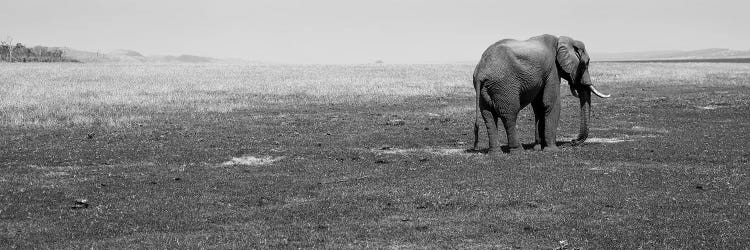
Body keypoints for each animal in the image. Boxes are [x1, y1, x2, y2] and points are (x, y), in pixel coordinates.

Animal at [476, 34, 612, 153]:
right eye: (586, 63)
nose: (573, 141)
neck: (562, 40)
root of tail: (480, 72)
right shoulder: (553, 70)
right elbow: (552, 103)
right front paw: (552, 150)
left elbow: (539, 107)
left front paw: (538, 148)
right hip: (505, 85)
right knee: (509, 115)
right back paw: (518, 151)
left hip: (487, 89)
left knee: (488, 115)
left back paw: (495, 153)